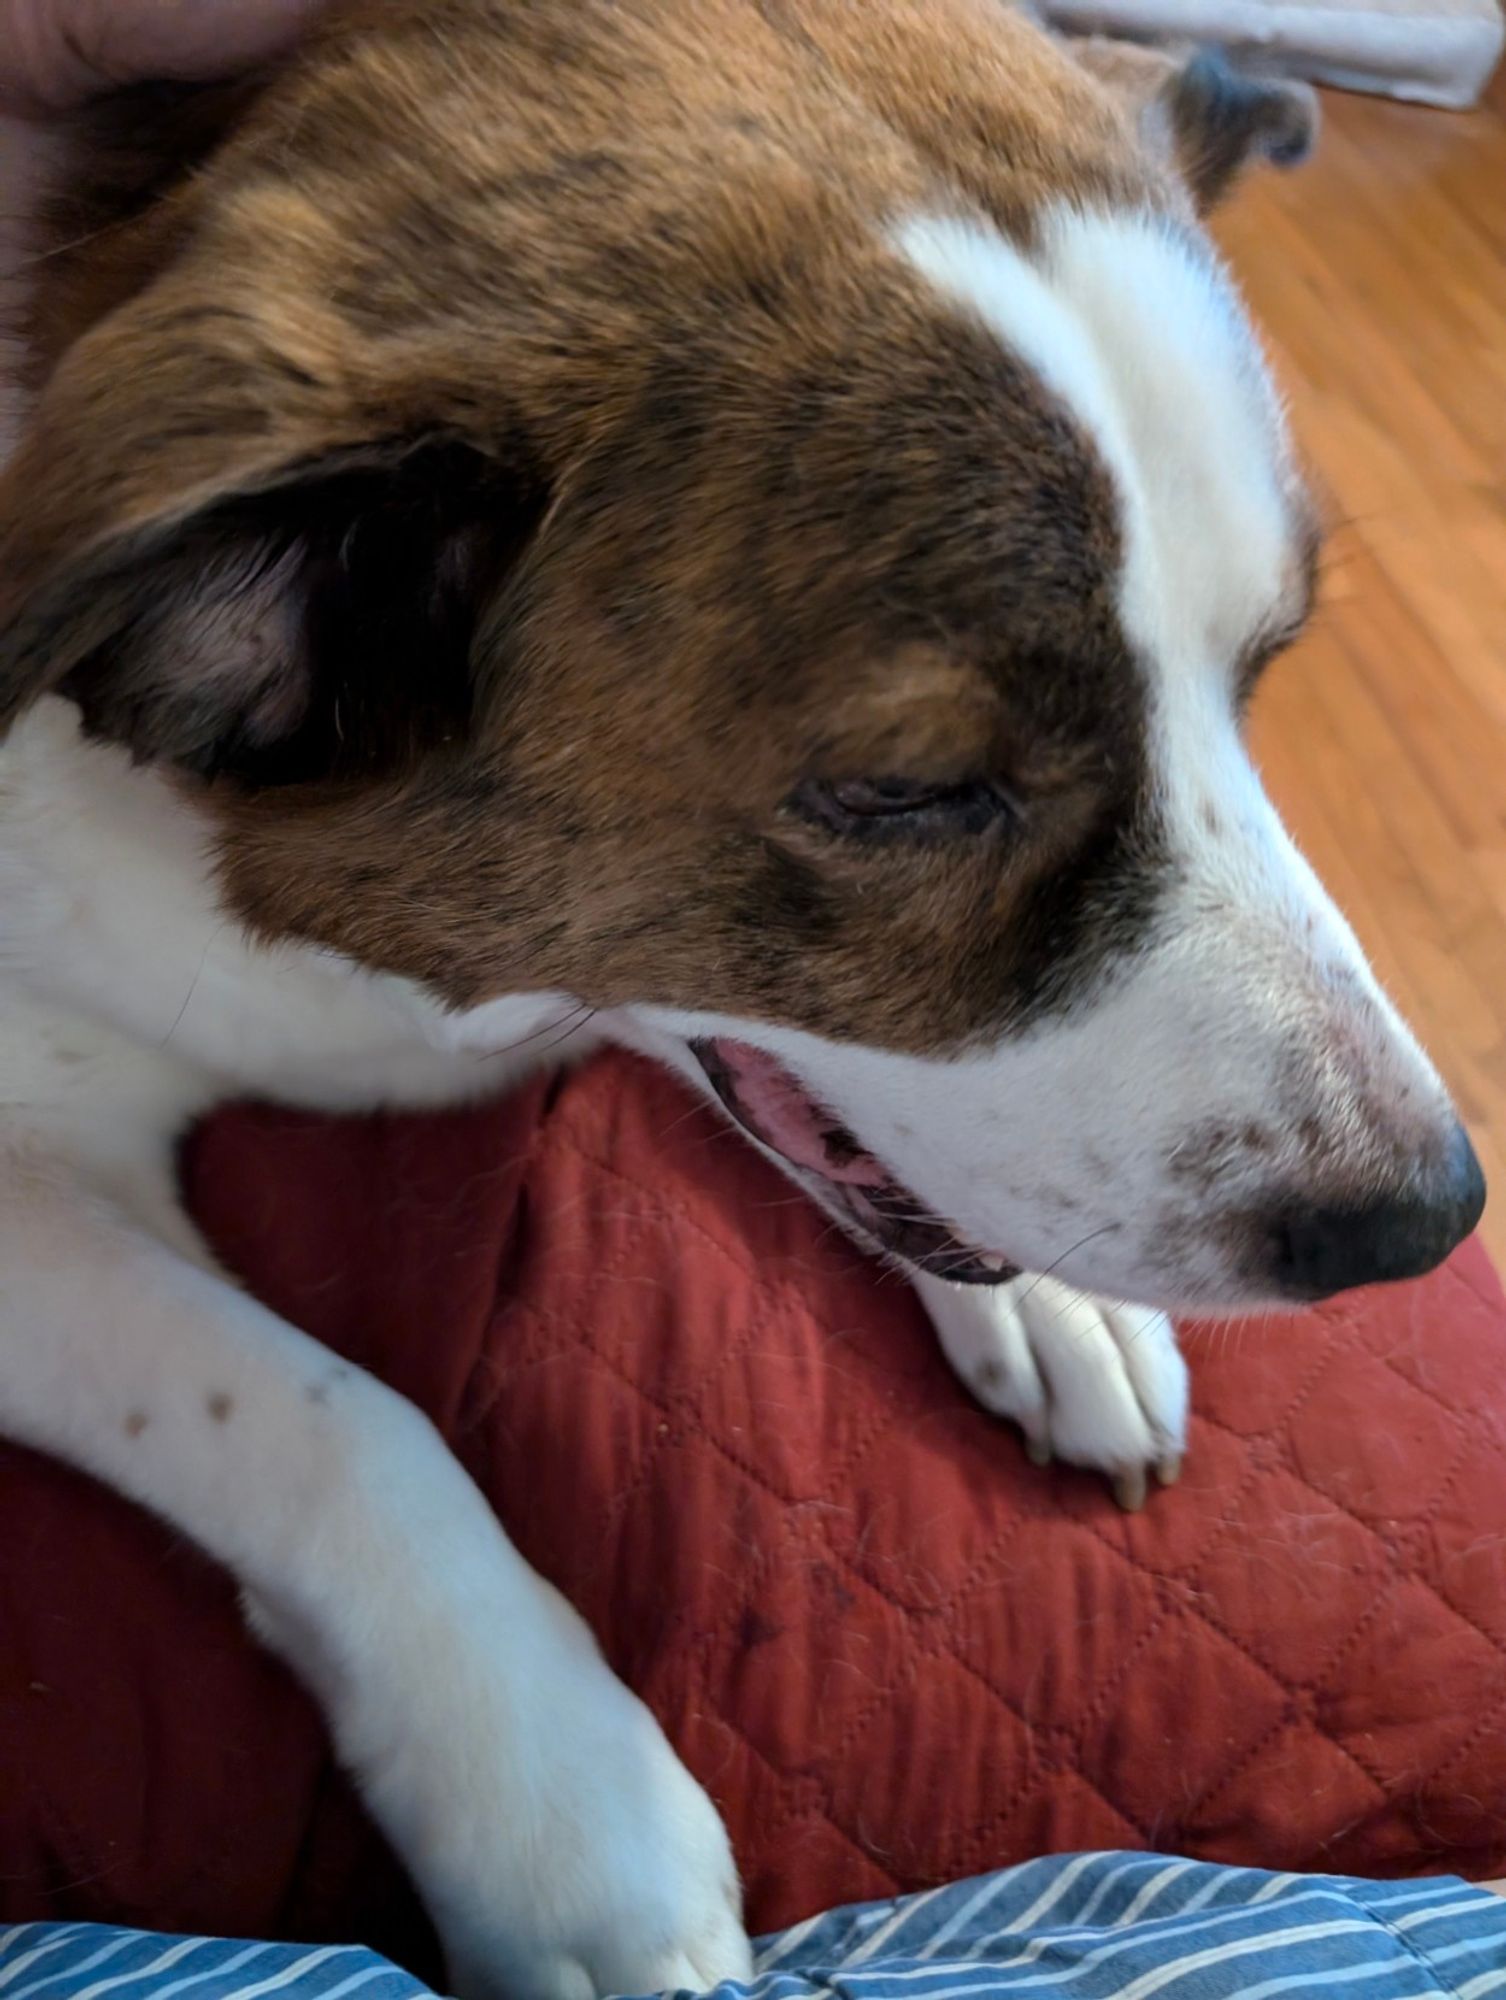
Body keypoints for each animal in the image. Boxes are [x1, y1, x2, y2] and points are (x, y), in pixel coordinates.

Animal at [0, 0, 1488, 1992]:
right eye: (913, 794)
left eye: (1255, 673)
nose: (1429, 1219)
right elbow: (315, 1410)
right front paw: (562, 1802)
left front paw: (1058, 1310)